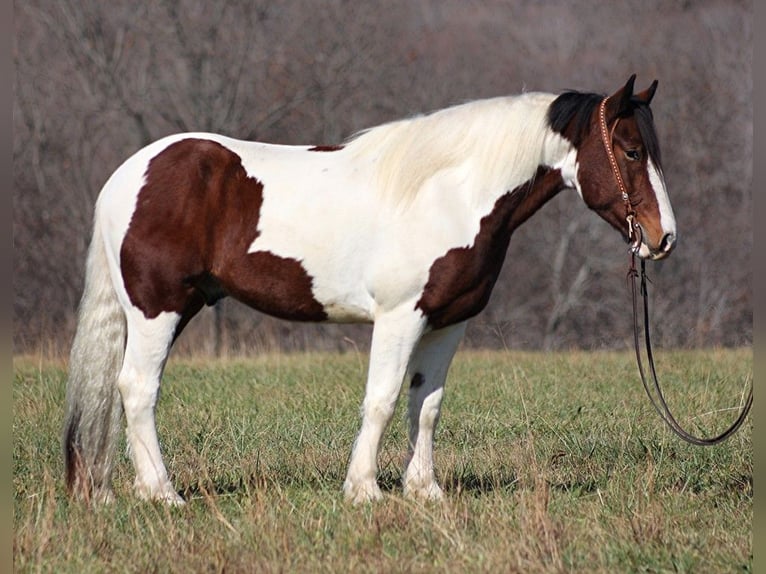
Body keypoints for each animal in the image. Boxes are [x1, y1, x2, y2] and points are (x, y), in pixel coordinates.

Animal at [64, 74, 680, 506]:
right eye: (630, 150)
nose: (664, 238)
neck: (451, 194)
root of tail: (127, 175)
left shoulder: (448, 322)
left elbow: (426, 404)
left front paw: (425, 491)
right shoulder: (400, 317)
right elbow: (382, 398)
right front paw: (364, 490)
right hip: (159, 309)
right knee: (137, 389)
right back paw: (163, 493)